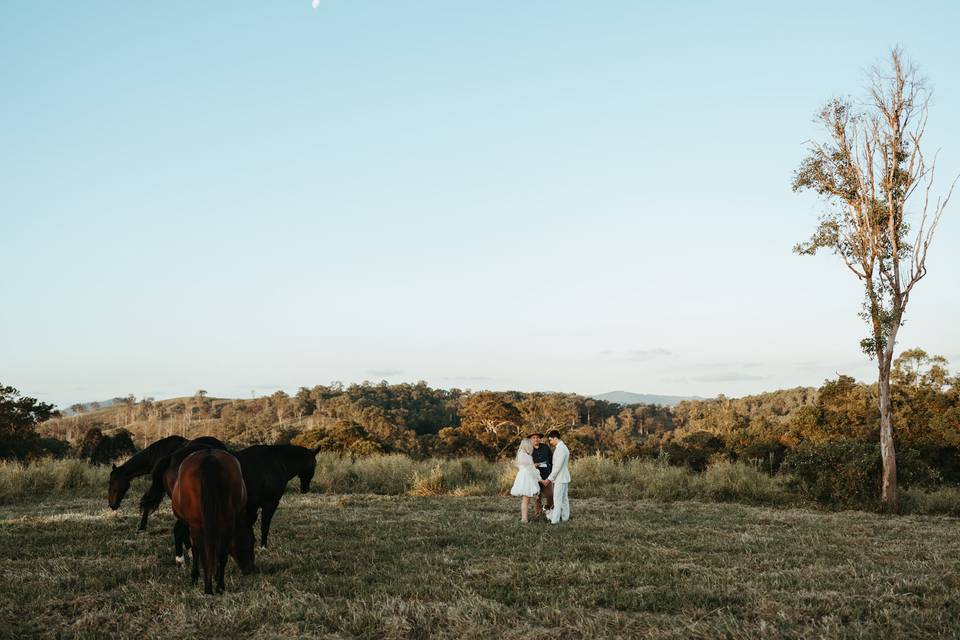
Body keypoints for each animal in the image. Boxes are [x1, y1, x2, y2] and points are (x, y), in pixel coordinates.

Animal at [172, 450, 255, 596]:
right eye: (252, 540)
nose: (250, 569)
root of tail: (209, 457)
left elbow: (196, 551)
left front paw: (196, 577)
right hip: (225, 525)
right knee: (220, 554)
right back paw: (218, 586)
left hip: (198, 526)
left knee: (204, 554)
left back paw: (209, 588)